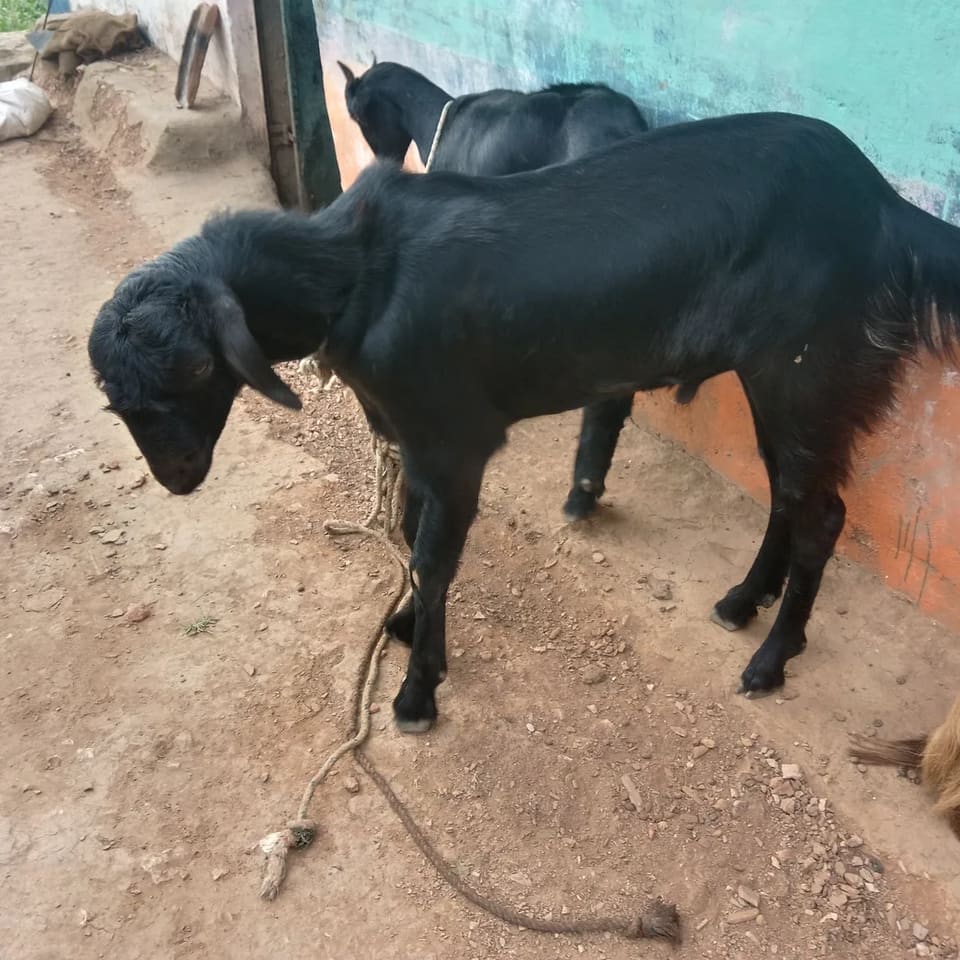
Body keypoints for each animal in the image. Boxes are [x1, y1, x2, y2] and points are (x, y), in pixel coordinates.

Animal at [89, 111, 960, 733]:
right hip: (783, 377)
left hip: (810, 368)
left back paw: (773, 658)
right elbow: (408, 536)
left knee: (824, 514)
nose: (177, 476)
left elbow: (432, 556)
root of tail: (885, 206)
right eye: (115, 400)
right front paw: (404, 625)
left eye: (195, 368)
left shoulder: (454, 442)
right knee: (788, 492)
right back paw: (744, 601)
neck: (356, 272)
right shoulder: (413, 438)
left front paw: (417, 694)